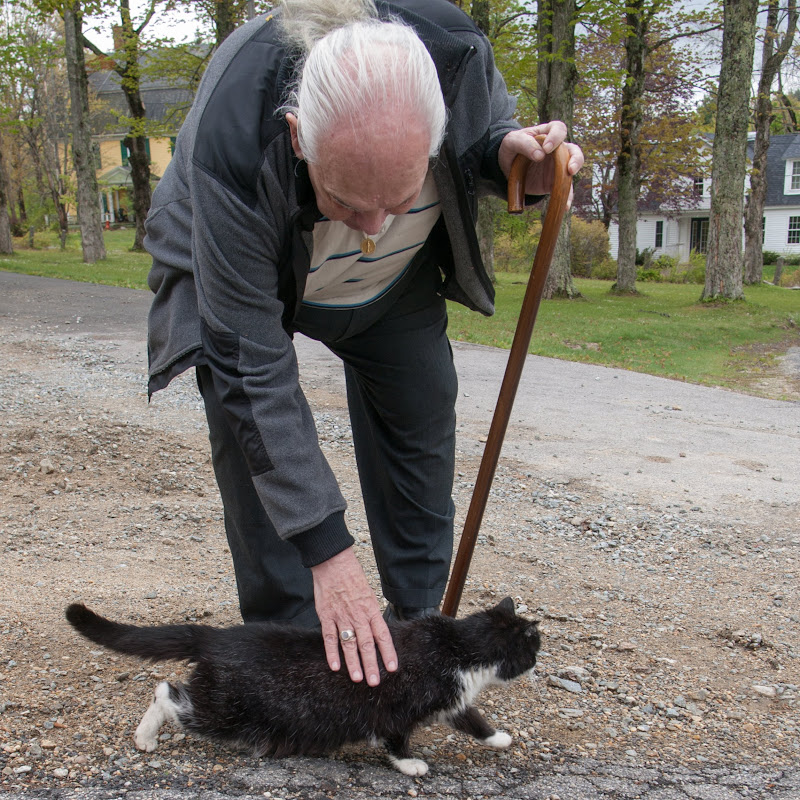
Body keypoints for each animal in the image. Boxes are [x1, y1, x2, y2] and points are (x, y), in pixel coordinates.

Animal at [65, 600, 540, 776]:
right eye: (533, 647)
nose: (539, 658)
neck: (455, 647)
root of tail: (216, 638)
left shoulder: (452, 700)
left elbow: (473, 719)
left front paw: (498, 738)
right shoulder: (396, 706)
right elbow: (395, 738)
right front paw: (410, 765)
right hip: (230, 711)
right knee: (168, 693)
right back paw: (145, 735)